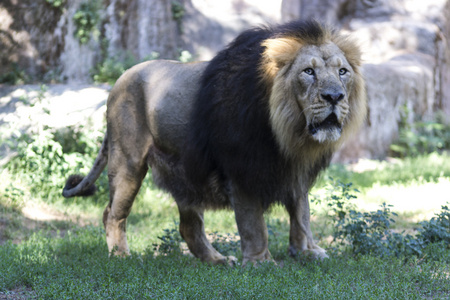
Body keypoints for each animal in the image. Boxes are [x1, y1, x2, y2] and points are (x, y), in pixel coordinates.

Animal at [63, 19, 366, 266]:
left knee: (189, 227)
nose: (334, 97)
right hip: (128, 161)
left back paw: (216, 260)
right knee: (112, 213)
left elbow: (302, 213)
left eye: (342, 72)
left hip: (183, 173)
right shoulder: (241, 169)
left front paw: (307, 251)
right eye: (308, 72)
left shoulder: (295, 170)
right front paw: (261, 262)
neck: (290, 134)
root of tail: (119, 79)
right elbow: (254, 223)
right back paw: (121, 255)